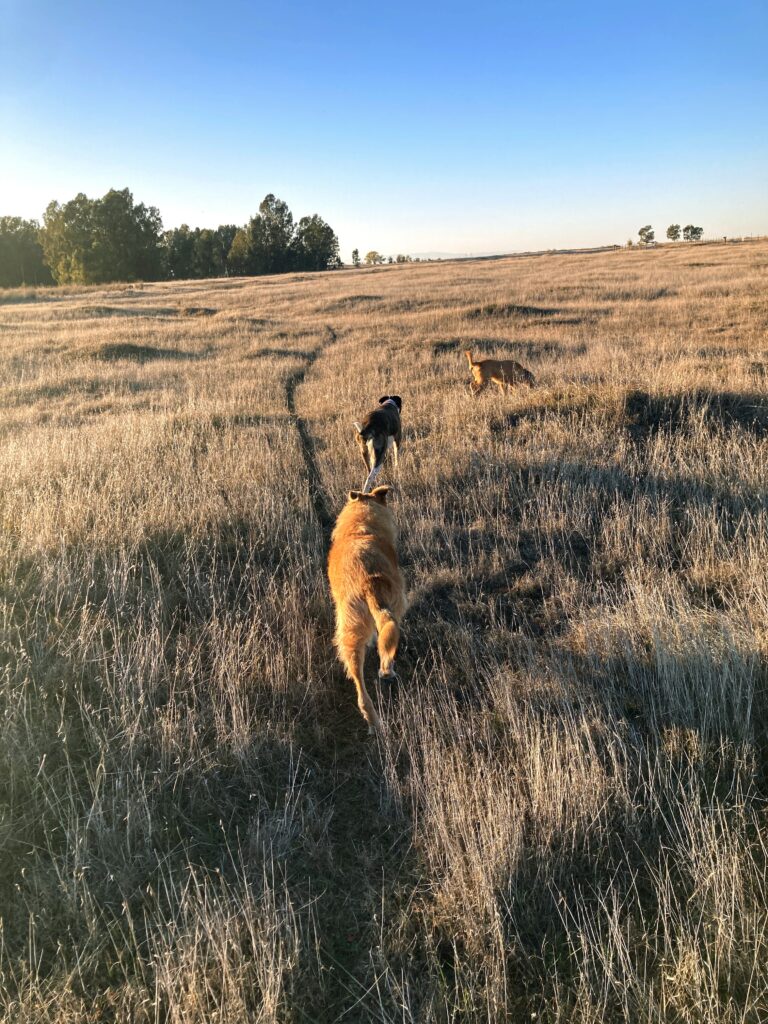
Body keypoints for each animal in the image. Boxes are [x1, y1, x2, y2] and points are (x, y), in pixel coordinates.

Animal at [327, 485, 409, 733]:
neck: (360, 526)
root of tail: (367, 581)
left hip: (349, 630)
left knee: (358, 680)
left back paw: (373, 720)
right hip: (393, 606)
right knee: (386, 651)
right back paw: (387, 671)